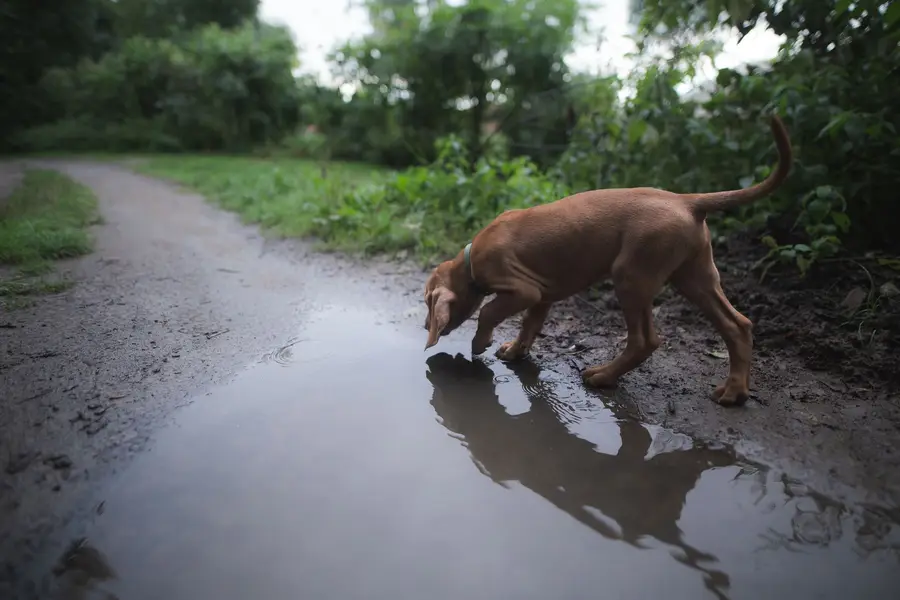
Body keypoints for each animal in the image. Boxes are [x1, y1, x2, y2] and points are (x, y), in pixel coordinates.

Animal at [420, 115, 788, 406]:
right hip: (694, 276)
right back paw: (735, 392)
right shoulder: (542, 295)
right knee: (737, 325)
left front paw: (479, 342)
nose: (425, 327)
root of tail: (687, 201)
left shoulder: (523, 289)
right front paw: (514, 352)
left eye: (427, 303)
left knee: (645, 340)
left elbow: (488, 312)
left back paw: (603, 376)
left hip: (631, 276)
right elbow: (529, 325)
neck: (469, 261)